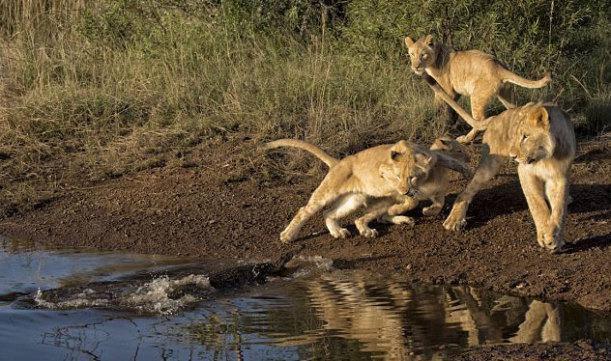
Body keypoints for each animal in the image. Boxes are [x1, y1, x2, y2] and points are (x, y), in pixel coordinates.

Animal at [266, 138, 470, 242]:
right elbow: (412, 200)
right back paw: (287, 235)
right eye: (397, 177)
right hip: (329, 191)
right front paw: (404, 205)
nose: (405, 190)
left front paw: (429, 210)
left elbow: (439, 200)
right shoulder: (386, 174)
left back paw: (341, 232)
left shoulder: (434, 178)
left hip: (354, 200)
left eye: (412, 176)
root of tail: (339, 162)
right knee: (306, 210)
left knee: (331, 213)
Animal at [404, 34, 552, 143]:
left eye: (422, 54)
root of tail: (498, 66)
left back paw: (465, 139)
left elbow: (442, 106)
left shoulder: (448, 89)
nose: (415, 67)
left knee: (480, 120)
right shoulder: (454, 92)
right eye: (412, 54)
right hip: (505, 94)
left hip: (477, 96)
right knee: (513, 110)